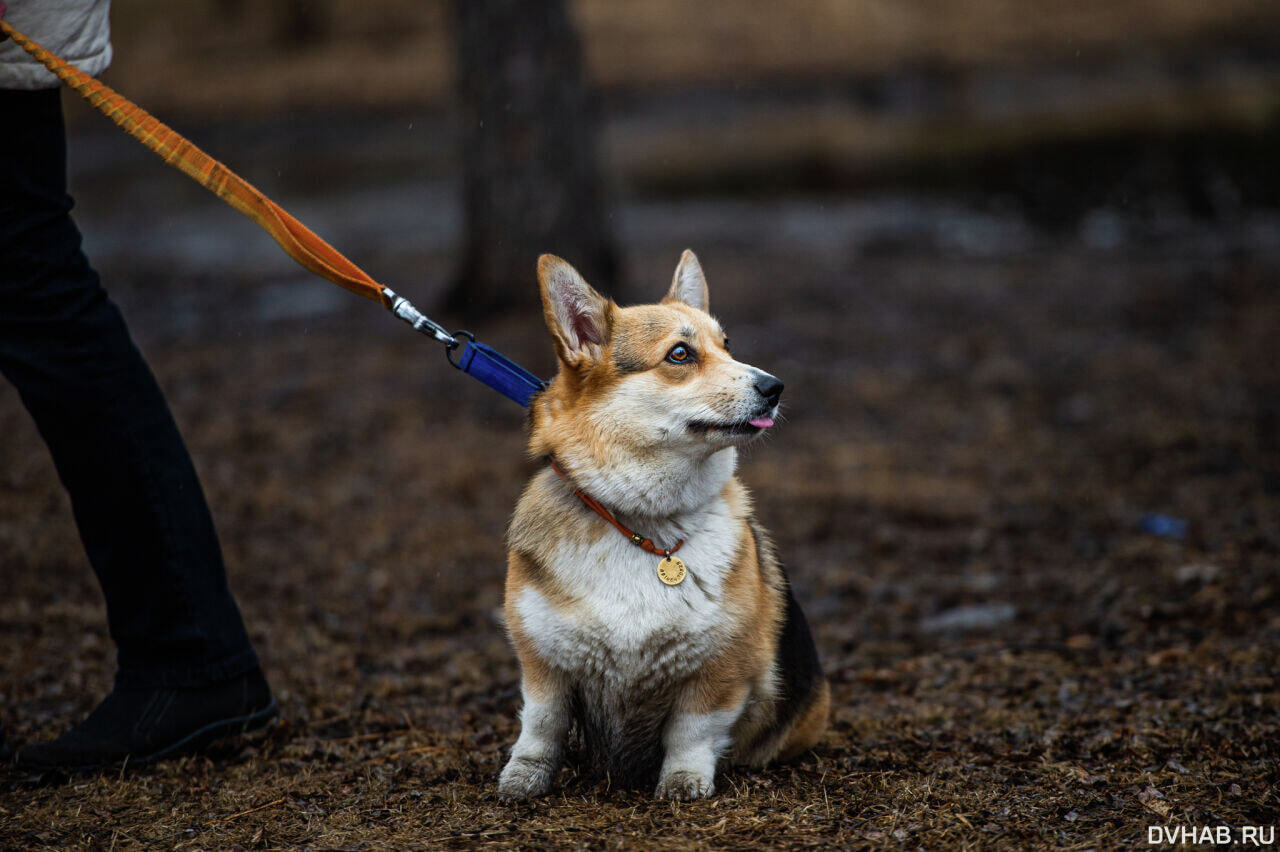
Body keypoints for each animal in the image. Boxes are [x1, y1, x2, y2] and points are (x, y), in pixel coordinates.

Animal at [494, 246, 824, 798]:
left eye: (727, 346)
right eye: (680, 355)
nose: (775, 387)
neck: (641, 521)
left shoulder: (718, 669)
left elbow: (693, 730)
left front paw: (683, 782)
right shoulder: (542, 659)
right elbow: (542, 723)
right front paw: (524, 777)